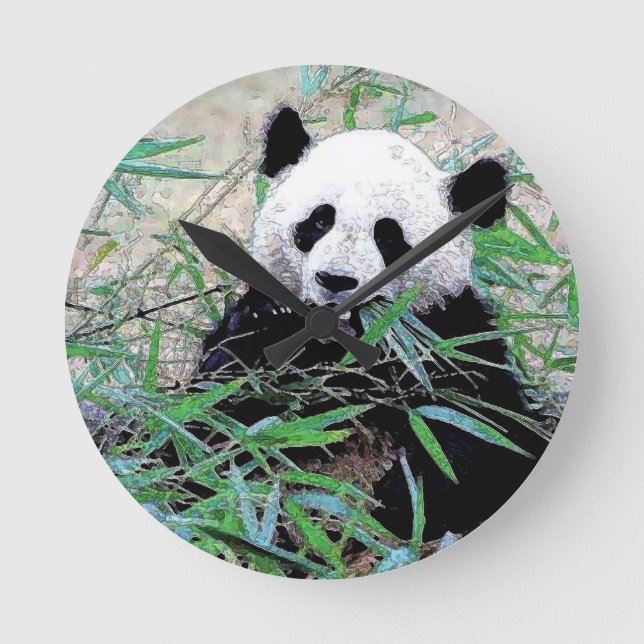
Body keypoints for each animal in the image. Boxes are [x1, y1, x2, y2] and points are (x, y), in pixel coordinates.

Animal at [194, 106, 547, 545]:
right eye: (319, 221)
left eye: (388, 236)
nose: (336, 281)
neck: (347, 339)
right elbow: (214, 407)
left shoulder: (446, 338)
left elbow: (482, 431)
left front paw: (399, 499)